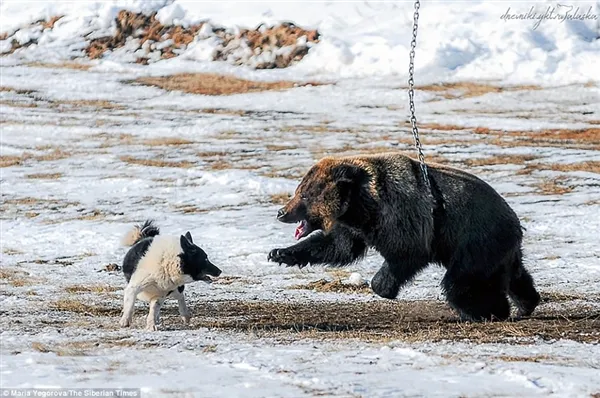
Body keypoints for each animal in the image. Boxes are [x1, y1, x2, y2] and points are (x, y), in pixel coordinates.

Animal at [268, 152, 540, 320]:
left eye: (303, 195)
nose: (282, 212)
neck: (361, 206)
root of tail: (514, 221)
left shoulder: (403, 216)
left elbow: (406, 252)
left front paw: (383, 287)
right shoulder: (354, 226)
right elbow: (338, 246)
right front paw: (279, 253)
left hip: (475, 240)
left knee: (462, 282)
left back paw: (490, 311)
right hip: (497, 248)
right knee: (515, 276)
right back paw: (525, 304)